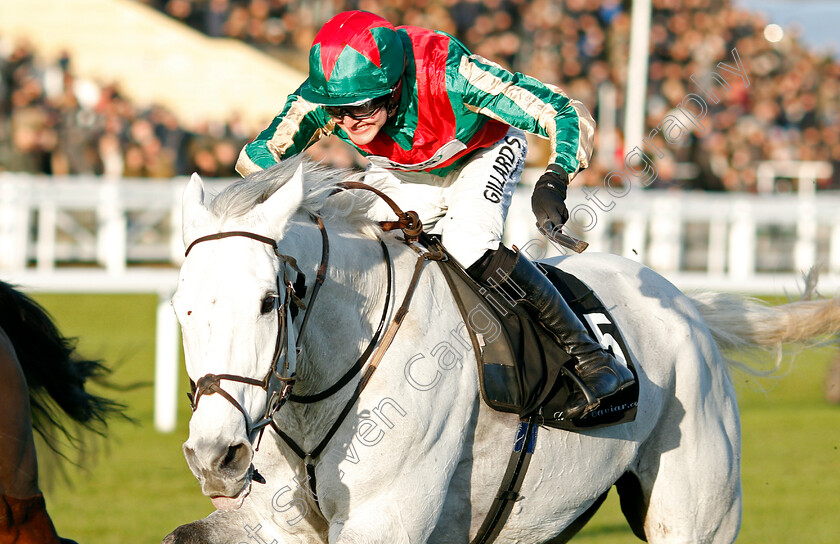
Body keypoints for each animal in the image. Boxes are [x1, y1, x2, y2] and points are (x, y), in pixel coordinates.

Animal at [162, 160, 840, 544]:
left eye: (267, 302)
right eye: (182, 306)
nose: (215, 454)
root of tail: (687, 307)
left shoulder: (385, 520)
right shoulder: (279, 524)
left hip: (696, 512)